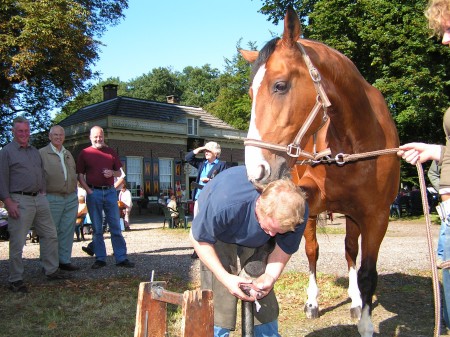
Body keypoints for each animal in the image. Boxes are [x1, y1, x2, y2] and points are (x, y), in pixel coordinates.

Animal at [241, 5, 400, 336]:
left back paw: (355, 301)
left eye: (280, 85)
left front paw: (365, 320)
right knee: (313, 252)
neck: (354, 144)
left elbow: (367, 273)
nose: (256, 170)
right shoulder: (310, 199)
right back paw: (313, 302)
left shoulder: (377, 215)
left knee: (350, 251)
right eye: (250, 93)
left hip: (353, 216)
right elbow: (305, 249)